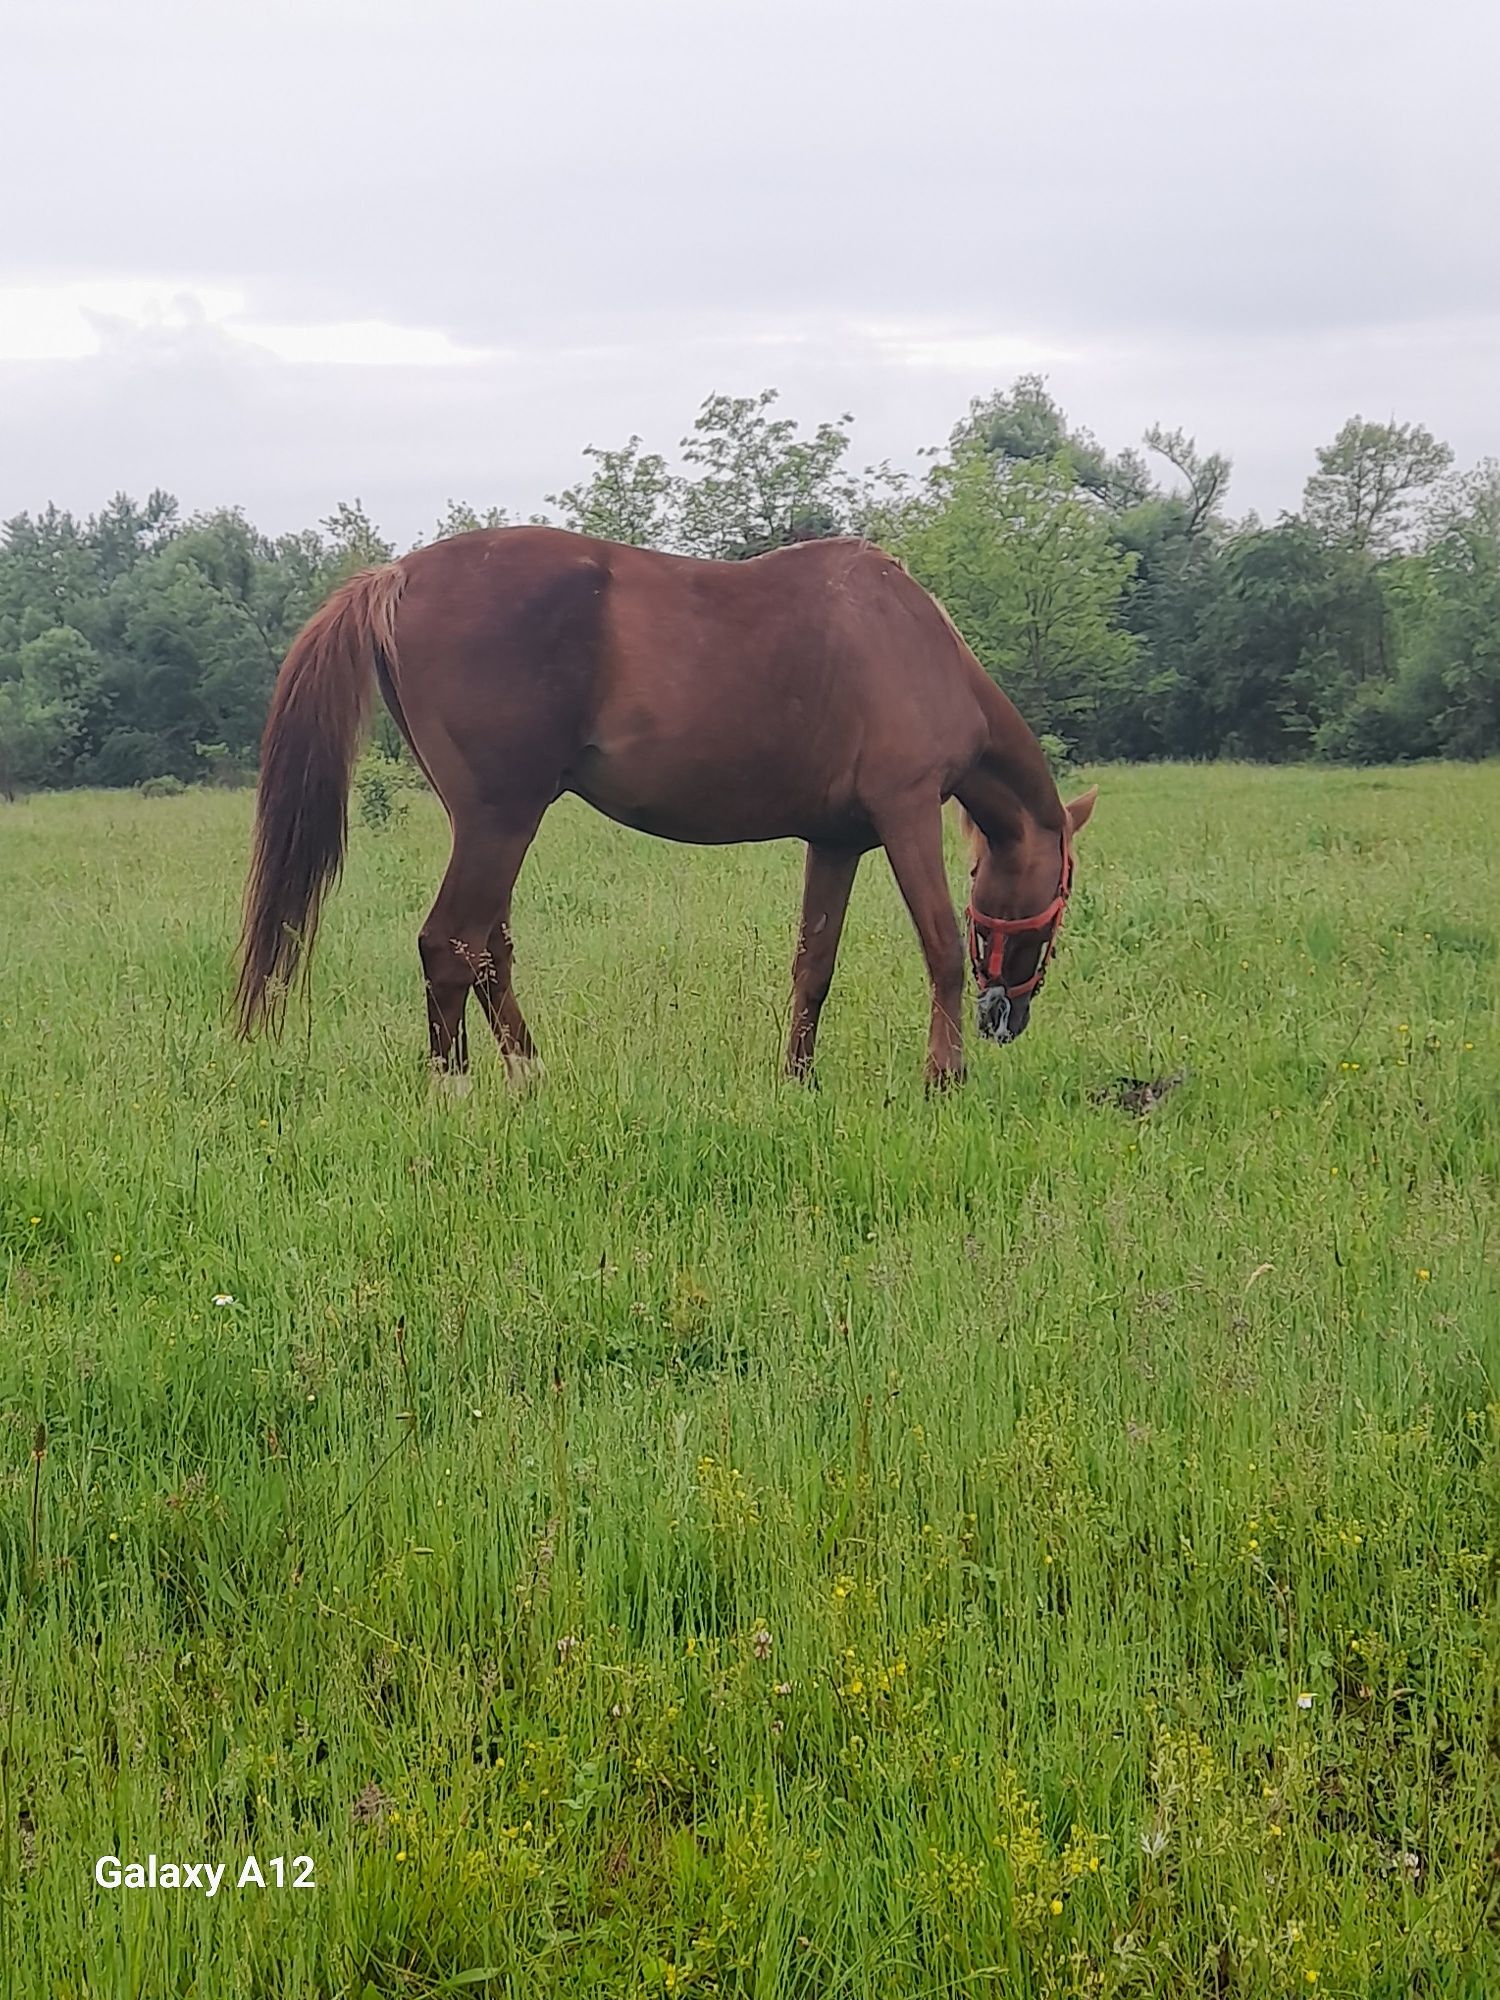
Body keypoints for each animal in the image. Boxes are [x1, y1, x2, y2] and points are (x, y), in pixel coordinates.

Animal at [238, 524, 1104, 1088]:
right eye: (1062, 896)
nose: (1006, 1019)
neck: (915, 642)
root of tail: (395, 574)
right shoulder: (907, 813)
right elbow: (942, 948)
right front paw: (944, 1076)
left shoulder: (836, 842)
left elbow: (813, 964)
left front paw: (798, 1080)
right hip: (500, 819)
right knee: (450, 946)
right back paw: (457, 1092)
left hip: (484, 825)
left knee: (488, 951)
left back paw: (530, 1075)